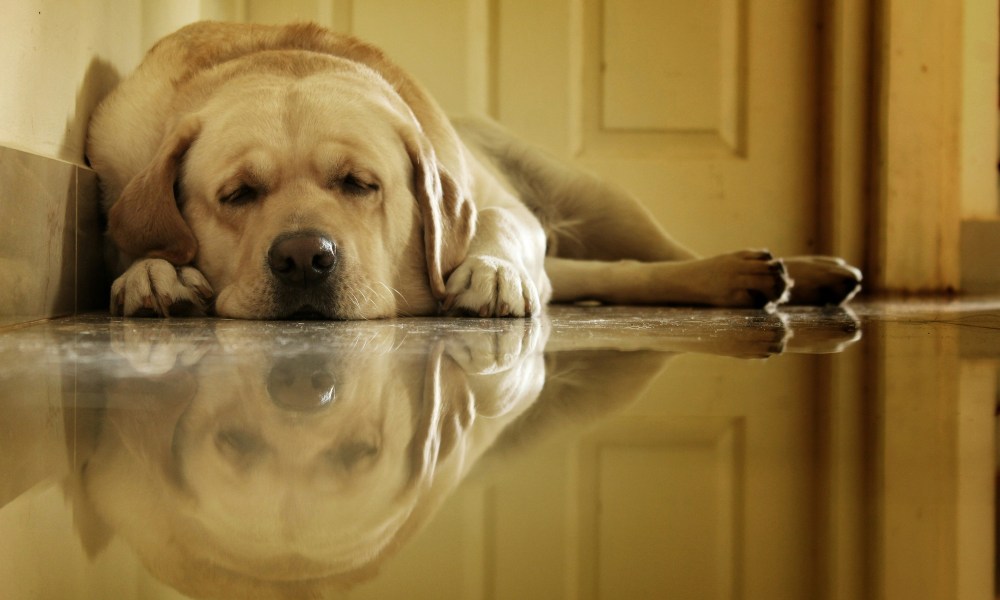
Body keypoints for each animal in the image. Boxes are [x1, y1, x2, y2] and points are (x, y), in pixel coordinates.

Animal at [86, 19, 860, 318]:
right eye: (237, 194)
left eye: (360, 185)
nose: (305, 257)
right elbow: (142, 246)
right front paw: (154, 274)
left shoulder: (502, 208)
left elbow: (497, 228)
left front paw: (489, 273)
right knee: (613, 275)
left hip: (597, 193)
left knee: (657, 253)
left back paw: (781, 270)